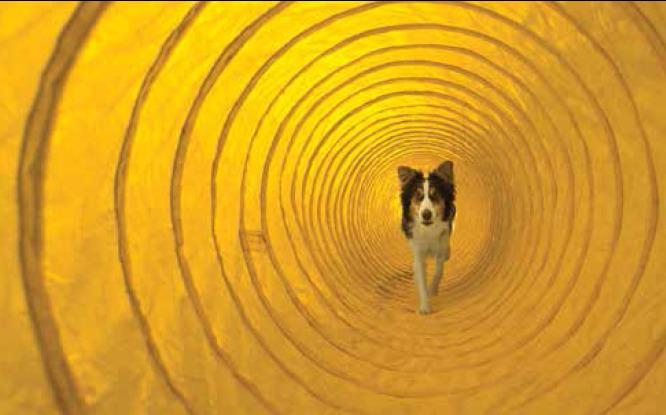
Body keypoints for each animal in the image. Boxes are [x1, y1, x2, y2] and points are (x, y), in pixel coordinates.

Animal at [396, 162, 454, 316]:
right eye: (418, 196)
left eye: (435, 196)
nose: (426, 214)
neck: (428, 229)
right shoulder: (418, 250)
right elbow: (421, 276)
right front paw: (424, 307)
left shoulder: (442, 243)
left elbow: (438, 271)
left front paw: (432, 290)